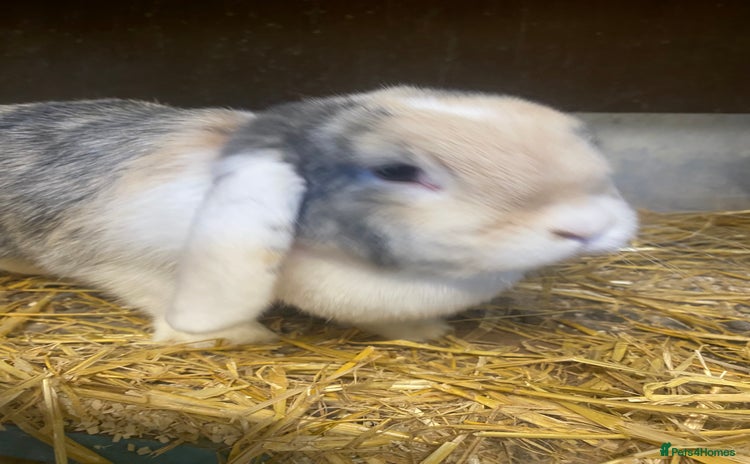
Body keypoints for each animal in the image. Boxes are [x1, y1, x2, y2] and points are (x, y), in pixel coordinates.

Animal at [0, 87, 638, 344]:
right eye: (397, 172)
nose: (590, 224)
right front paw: (239, 336)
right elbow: (159, 298)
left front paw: (428, 332)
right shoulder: (131, 260)